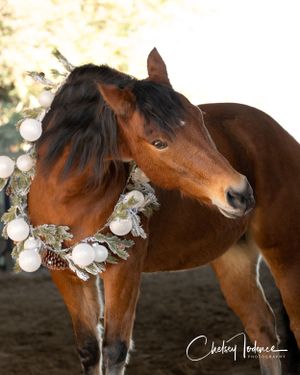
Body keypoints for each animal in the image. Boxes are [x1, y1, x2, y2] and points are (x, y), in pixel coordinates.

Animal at [27, 48, 298, 374]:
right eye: (158, 142)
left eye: (198, 117)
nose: (240, 193)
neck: (67, 195)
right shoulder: (66, 274)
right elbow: (90, 349)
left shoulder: (124, 271)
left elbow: (115, 350)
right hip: (234, 257)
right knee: (262, 327)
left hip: (285, 251)